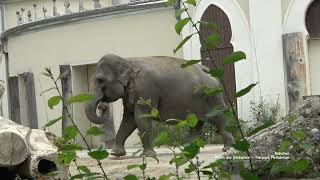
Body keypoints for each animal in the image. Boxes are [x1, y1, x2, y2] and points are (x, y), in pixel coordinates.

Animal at [85, 54, 235, 157]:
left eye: (100, 80)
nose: (103, 106)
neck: (127, 60)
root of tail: (211, 72)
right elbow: (128, 120)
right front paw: (116, 154)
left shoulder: (145, 90)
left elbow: (141, 118)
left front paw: (148, 155)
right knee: (196, 125)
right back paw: (187, 149)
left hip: (212, 96)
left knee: (218, 119)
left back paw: (227, 148)